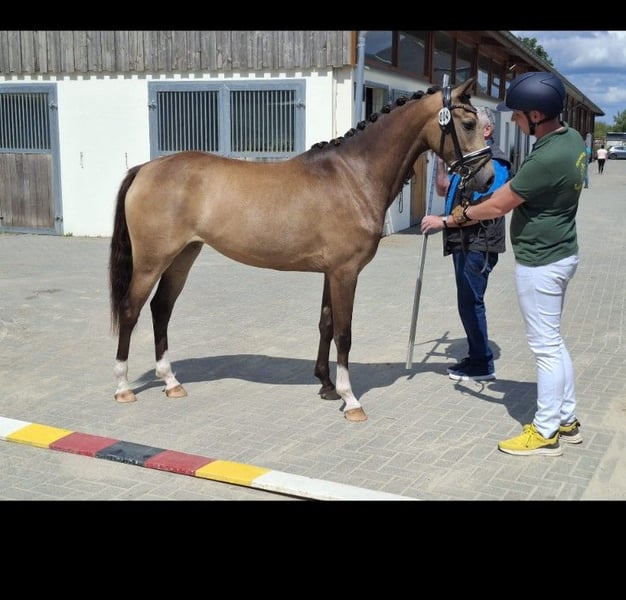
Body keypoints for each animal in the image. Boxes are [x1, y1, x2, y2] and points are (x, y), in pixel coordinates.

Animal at [109, 77, 494, 422]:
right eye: (469, 123)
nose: (488, 178)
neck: (353, 175)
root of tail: (145, 168)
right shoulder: (345, 273)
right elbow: (344, 332)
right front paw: (350, 399)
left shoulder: (330, 272)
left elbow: (326, 324)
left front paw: (326, 385)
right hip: (151, 261)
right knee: (130, 310)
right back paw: (123, 387)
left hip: (183, 256)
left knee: (161, 309)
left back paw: (171, 382)